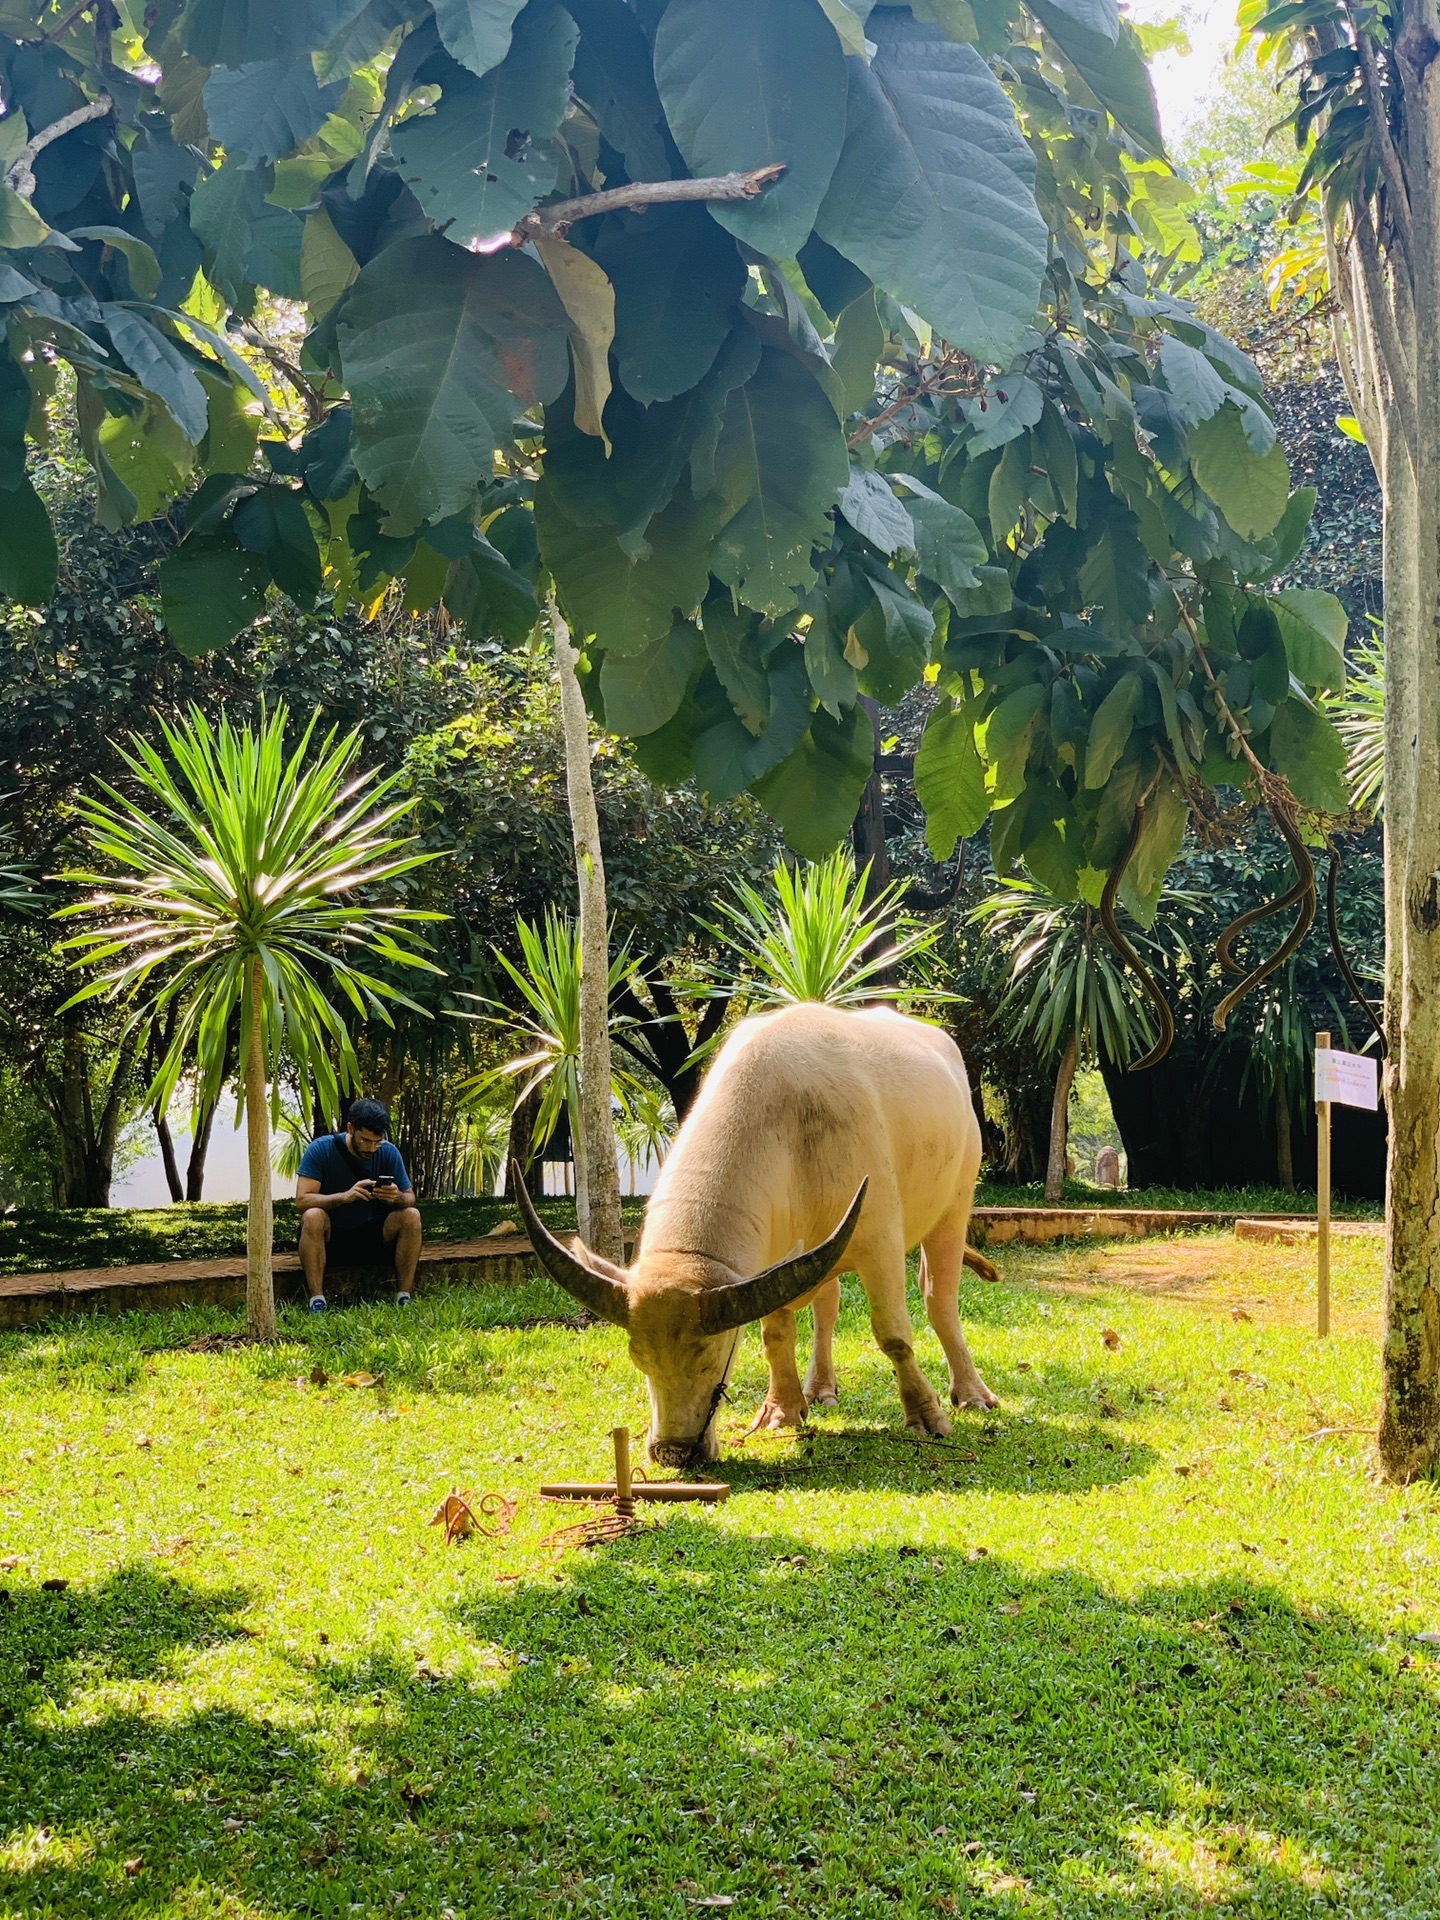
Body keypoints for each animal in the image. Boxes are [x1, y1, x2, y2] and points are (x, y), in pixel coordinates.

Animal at [514, 998, 998, 1459]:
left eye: (712, 1358)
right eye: (639, 1358)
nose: (671, 1451)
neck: (788, 1130)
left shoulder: (879, 1241)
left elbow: (893, 1334)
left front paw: (926, 1414)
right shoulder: (772, 1258)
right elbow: (776, 1334)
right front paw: (782, 1409)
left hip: (955, 1203)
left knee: (939, 1298)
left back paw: (972, 1393)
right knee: (828, 1306)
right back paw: (820, 1388)